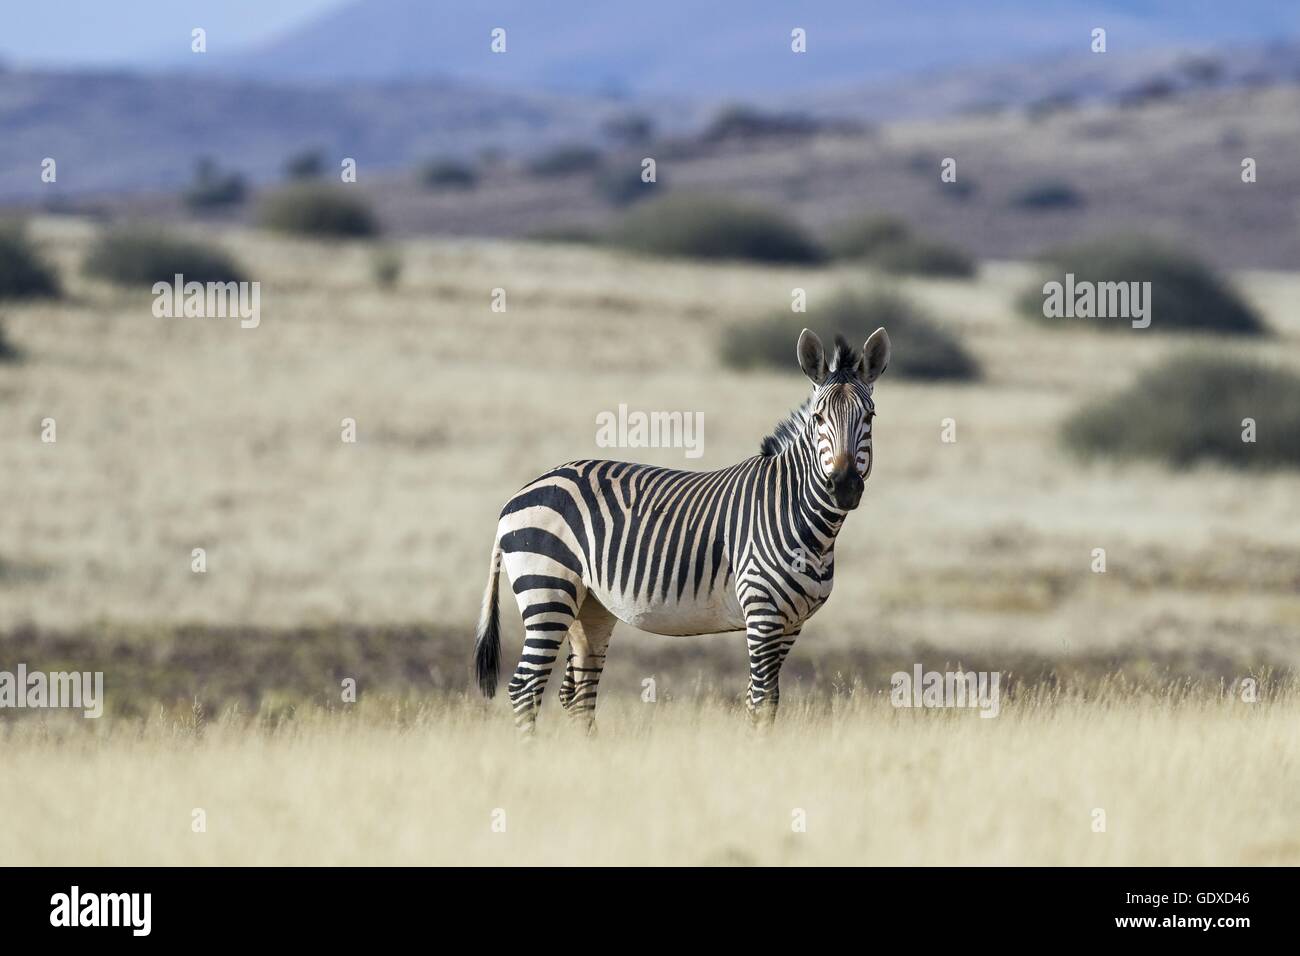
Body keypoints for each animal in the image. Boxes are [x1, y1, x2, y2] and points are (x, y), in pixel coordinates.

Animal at [473, 326, 891, 733]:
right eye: (819, 418)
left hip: (590, 605)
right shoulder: (762, 615)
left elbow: (767, 702)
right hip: (547, 590)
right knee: (525, 687)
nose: (844, 485)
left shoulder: (791, 624)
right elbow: (760, 702)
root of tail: (518, 496)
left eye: (869, 417)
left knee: (576, 693)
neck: (801, 519)